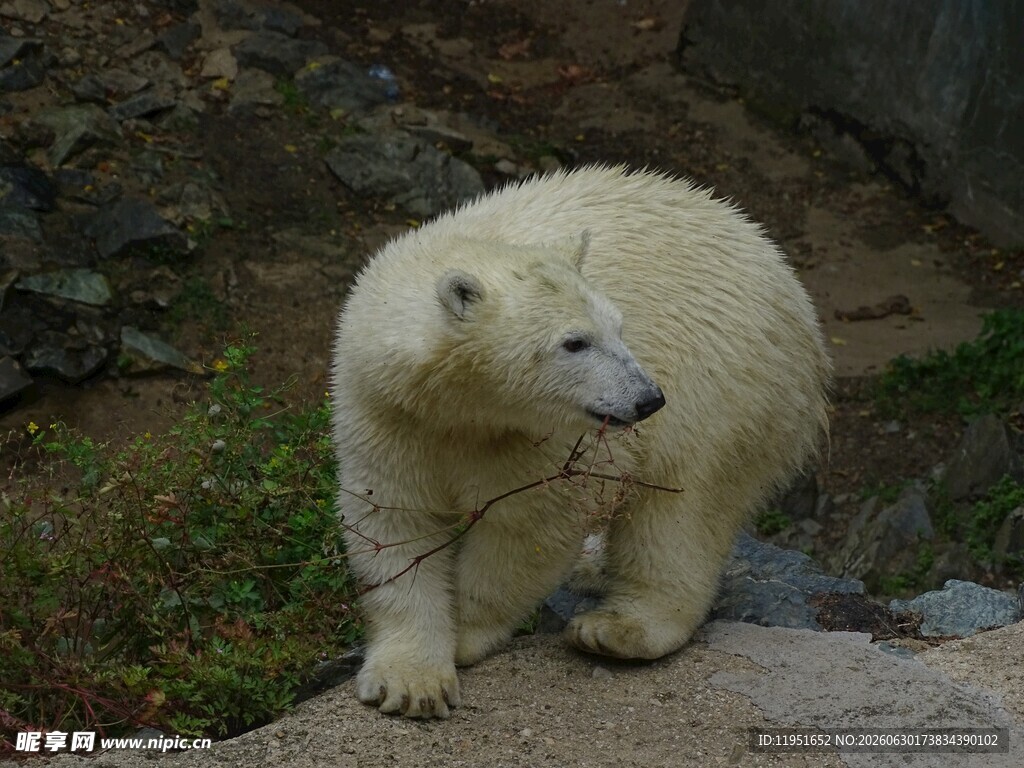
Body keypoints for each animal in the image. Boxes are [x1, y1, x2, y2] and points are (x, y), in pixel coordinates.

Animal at [330, 165, 831, 719]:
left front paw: (466, 634)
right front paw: (409, 683)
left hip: (726, 381)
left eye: (619, 327)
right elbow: (395, 522)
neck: (461, 407)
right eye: (574, 342)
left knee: (684, 511)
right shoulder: (389, 413)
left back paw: (618, 629)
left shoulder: (545, 438)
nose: (648, 398)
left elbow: (529, 527)